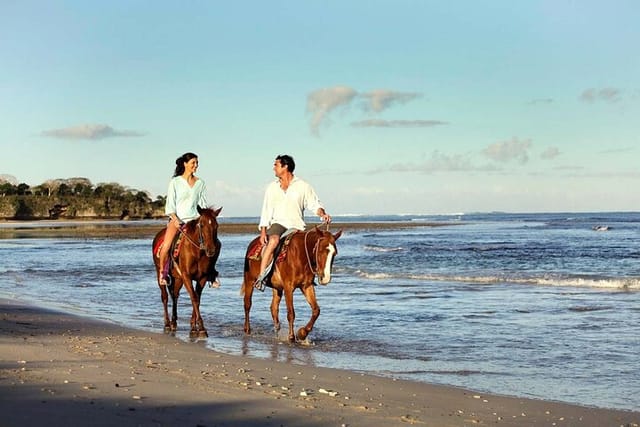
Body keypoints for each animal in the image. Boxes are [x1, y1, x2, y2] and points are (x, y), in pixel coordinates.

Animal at [151, 206, 221, 340]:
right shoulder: (187, 276)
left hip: (178, 278)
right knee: (165, 297)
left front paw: (194, 327)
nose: (211, 250)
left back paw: (173, 322)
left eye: (216, 225)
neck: (197, 252)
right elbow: (194, 298)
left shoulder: (202, 278)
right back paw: (167, 324)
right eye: (202, 225)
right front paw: (201, 329)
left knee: (175, 295)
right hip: (160, 273)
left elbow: (197, 299)